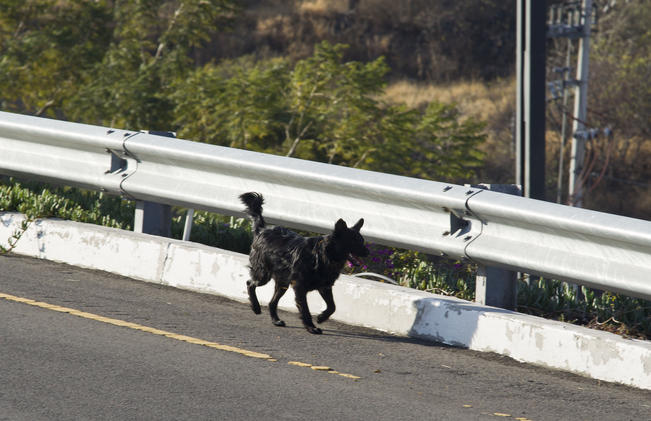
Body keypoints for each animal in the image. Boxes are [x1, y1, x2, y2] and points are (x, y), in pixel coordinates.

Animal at [241, 192, 372, 334]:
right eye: (354, 241)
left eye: (362, 241)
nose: (368, 252)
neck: (322, 255)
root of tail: (262, 230)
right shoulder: (300, 287)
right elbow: (305, 309)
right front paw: (311, 327)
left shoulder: (325, 287)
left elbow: (332, 306)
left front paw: (321, 317)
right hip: (263, 275)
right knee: (250, 284)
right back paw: (256, 307)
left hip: (283, 283)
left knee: (272, 302)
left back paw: (276, 320)